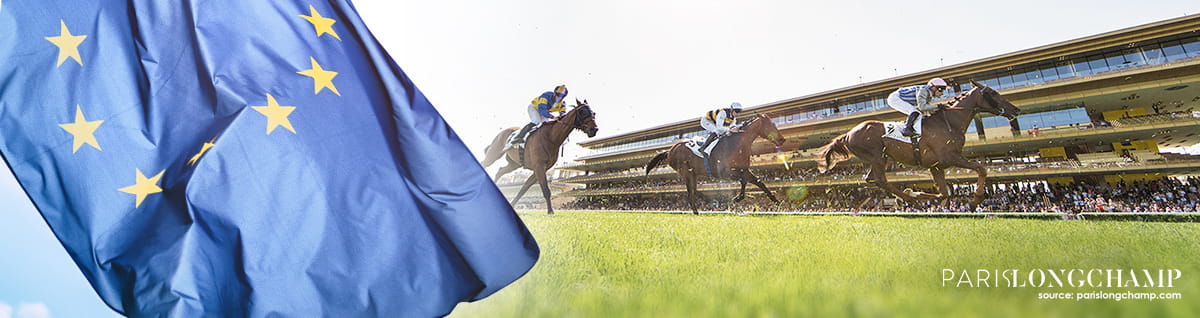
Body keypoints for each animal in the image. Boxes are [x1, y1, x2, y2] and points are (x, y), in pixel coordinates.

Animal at [648, 112, 787, 213]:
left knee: (693, 191)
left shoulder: (744, 169)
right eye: (770, 125)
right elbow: (744, 180)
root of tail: (670, 150)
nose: (782, 139)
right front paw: (736, 198)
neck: (737, 144)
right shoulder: (725, 172)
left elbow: (758, 182)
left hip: (692, 173)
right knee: (691, 192)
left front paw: (777, 201)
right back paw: (703, 206)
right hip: (686, 172)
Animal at [811, 79, 1017, 208]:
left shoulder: (936, 166)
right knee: (881, 180)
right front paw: (975, 200)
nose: (1015, 109)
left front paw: (914, 192)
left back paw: (909, 198)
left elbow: (944, 193)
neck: (948, 122)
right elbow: (981, 169)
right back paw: (912, 201)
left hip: (881, 158)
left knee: (871, 179)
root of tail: (848, 133)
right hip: (877, 157)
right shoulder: (950, 157)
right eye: (992, 92)